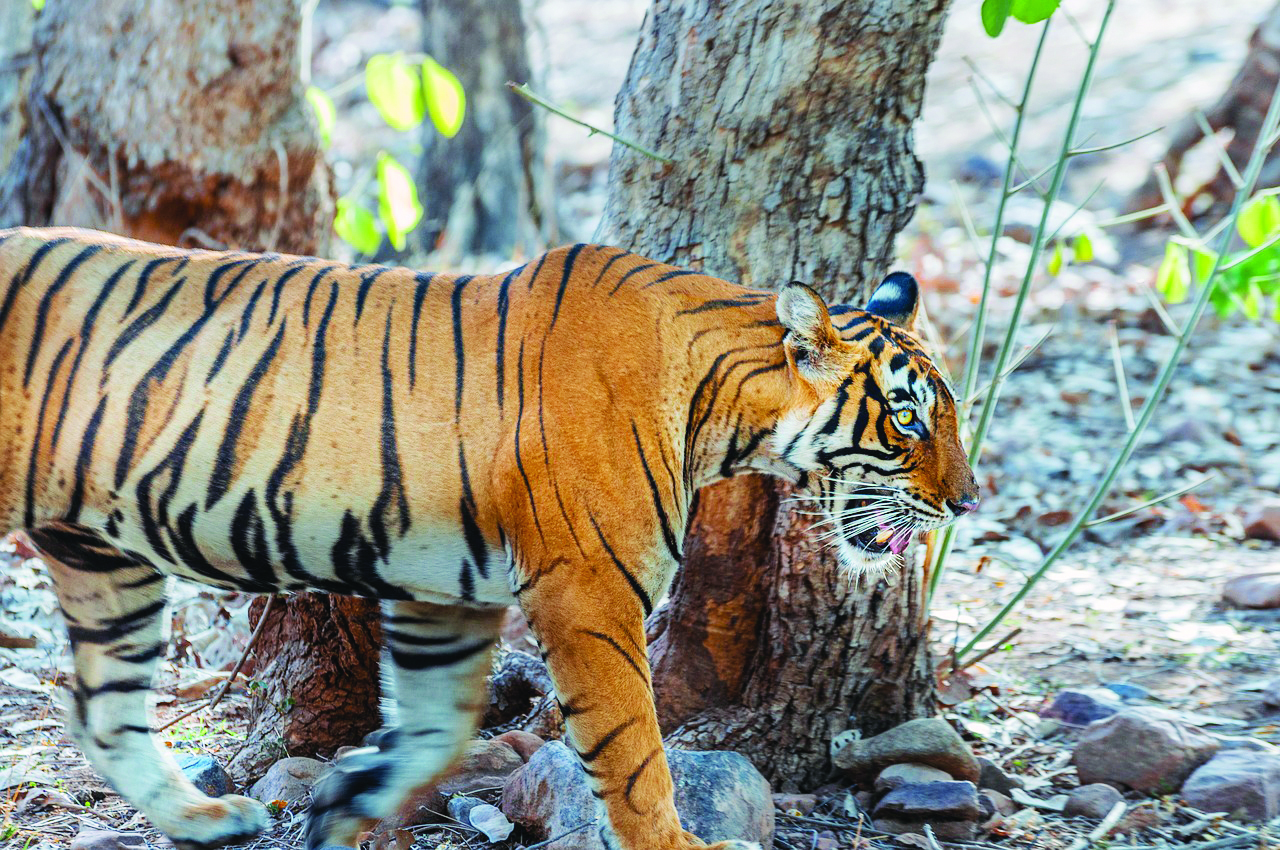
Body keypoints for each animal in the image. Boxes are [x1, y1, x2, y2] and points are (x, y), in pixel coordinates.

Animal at [0, 227, 978, 850]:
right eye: (906, 417)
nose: (967, 502)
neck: (721, 407)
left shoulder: (445, 592)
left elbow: (436, 730)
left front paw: (345, 802)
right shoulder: (589, 593)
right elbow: (635, 752)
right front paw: (674, 845)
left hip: (103, 560)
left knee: (101, 709)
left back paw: (205, 821)